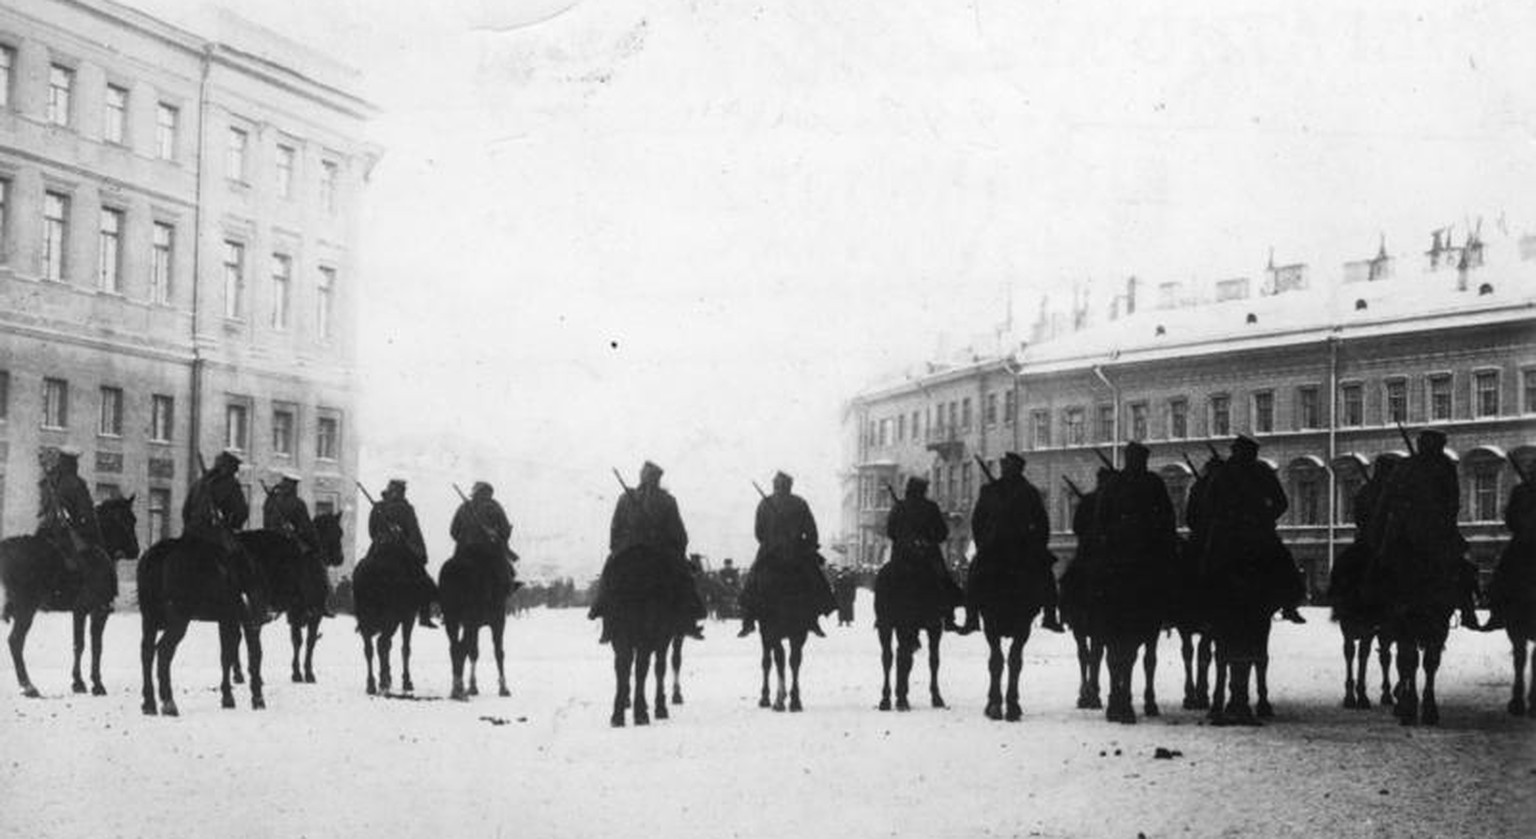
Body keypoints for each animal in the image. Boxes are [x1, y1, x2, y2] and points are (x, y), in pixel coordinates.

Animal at [0, 491, 139, 694]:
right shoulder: (97, 610)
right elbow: (91, 646)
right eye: (127, 519)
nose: (136, 550)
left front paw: (81, 682)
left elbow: (82, 645)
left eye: (133, 519)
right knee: (15, 642)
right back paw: (28, 686)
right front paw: (93, 683)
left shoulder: (81, 611)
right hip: (26, 608)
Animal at [138, 528, 305, 712]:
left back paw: (149, 702)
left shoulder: (227, 620)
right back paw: (169, 702)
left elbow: (226, 655)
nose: (297, 598)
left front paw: (227, 696)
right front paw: (257, 697)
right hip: (179, 620)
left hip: (149, 619)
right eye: (292, 561)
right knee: (163, 651)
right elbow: (254, 655)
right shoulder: (249, 622)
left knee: (147, 652)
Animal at [287, 510, 347, 679]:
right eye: (328, 531)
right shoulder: (295, 614)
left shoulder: (317, 614)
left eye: (340, 532)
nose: (339, 558)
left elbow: (310, 641)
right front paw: (296, 673)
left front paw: (308, 672)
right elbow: (297, 641)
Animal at [354, 534, 439, 691]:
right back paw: (382, 681)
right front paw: (406, 681)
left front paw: (388, 676)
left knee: (369, 648)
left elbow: (389, 646)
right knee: (381, 643)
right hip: (391, 618)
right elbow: (405, 648)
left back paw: (371, 683)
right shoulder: (408, 617)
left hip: (364, 617)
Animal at [436, 540, 513, 697]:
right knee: (461, 648)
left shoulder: (475, 624)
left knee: (454, 647)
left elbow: (474, 652)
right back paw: (459, 689)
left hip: (451, 617)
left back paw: (456, 688)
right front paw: (503, 687)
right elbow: (498, 652)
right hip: (469, 618)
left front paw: (472, 686)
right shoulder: (498, 619)